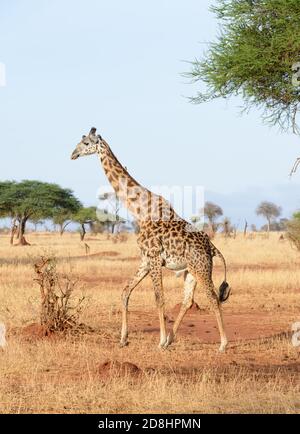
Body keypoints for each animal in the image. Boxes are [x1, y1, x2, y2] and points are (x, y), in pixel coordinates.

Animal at [71, 127, 231, 350]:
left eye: (86, 143)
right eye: (80, 141)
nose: (73, 154)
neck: (140, 210)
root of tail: (212, 247)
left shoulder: (154, 257)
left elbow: (159, 298)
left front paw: (160, 340)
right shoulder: (145, 259)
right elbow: (125, 292)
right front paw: (124, 339)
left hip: (201, 268)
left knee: (213, 297)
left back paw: (222, 344)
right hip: (190, 270)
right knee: (188, 300)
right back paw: (171, 339)